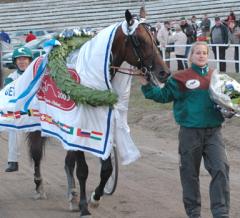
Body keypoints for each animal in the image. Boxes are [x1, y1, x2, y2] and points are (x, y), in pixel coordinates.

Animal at [27, 9, 171, 217]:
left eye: (155, 38)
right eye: (138, 40)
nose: (164, 72)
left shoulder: (102, 125)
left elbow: (107, 168)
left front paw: (95, 197)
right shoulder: (80, 126)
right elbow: (83, 170)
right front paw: (84, 206)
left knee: (68, 161)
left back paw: (72, 195)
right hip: (39, 122)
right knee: (37, 153)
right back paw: (39, 186)